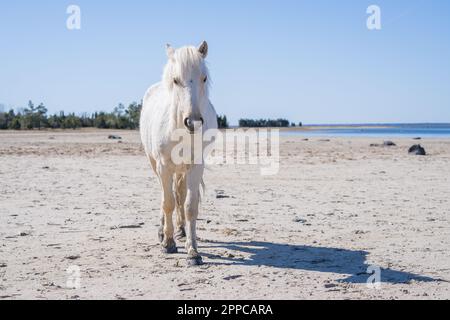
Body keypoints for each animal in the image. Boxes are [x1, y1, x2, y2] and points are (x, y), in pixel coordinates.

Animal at [141, 40, 218, 264]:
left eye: (204, 77)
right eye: (175, 80)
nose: (193, 122)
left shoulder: (195, 167)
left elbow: (190, 205)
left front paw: (193, 251)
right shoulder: (163, 166)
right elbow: (167, 202)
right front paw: (168, 243)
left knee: (180, 195)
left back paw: (181, 230)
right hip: (156, 165)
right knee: (166, 196)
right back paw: (163, 231)